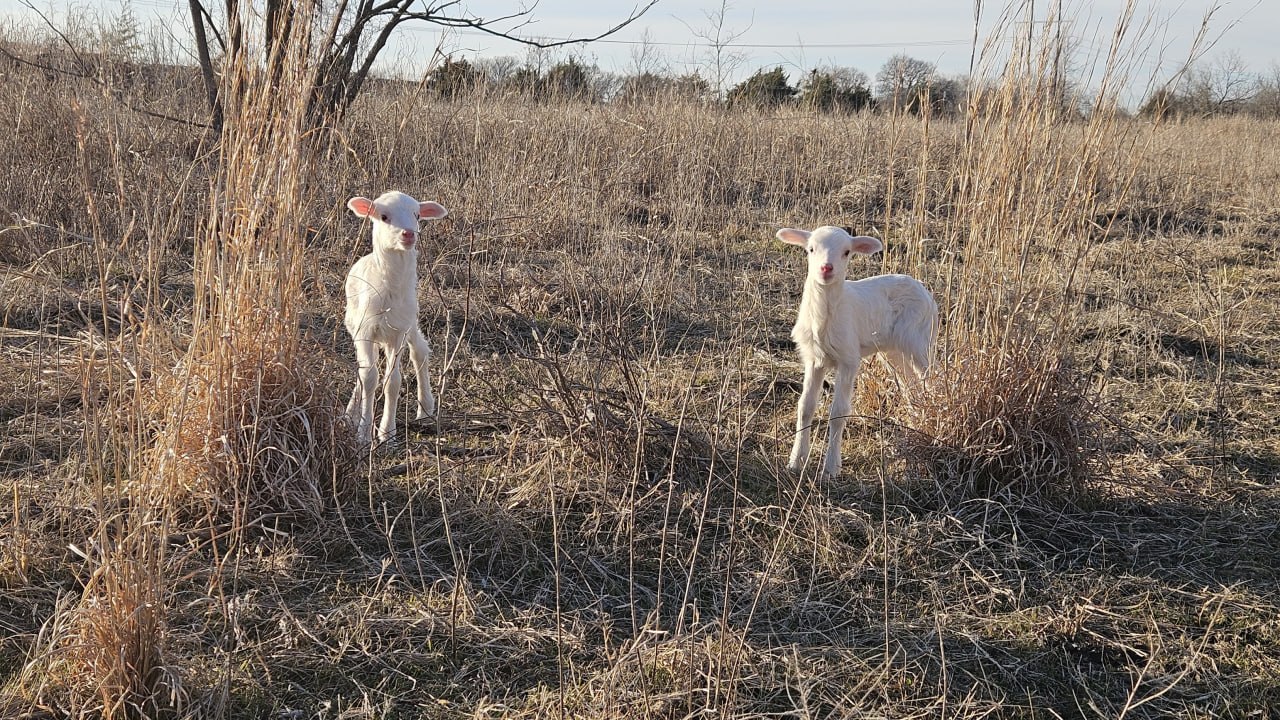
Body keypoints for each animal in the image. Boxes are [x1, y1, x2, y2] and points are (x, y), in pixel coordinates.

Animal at [343, 191, 448, 445]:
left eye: (417, 215)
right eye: (383, 216)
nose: (409, 233)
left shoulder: (398, 331)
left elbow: (392, 381)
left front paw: (387, 433)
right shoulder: (365, 330)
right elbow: (369, 378)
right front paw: (363, 433)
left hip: (410, 322)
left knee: (420, 350)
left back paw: (426, 409)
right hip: (355, 325)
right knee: (364, 367)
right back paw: (350, 414)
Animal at [776, 226, 937, 477]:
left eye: (846, 252)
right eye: (810, 249)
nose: (826, 268)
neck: (824, 318)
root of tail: (924, 290)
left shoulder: (848, 359)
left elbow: (838, 413)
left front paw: (831, 469)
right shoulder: (814, 360)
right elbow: (805, 407)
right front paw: (795, 462)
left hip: (920, 341)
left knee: (932, 381)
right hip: (893, 351)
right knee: (911, 387)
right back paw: (914, 426)